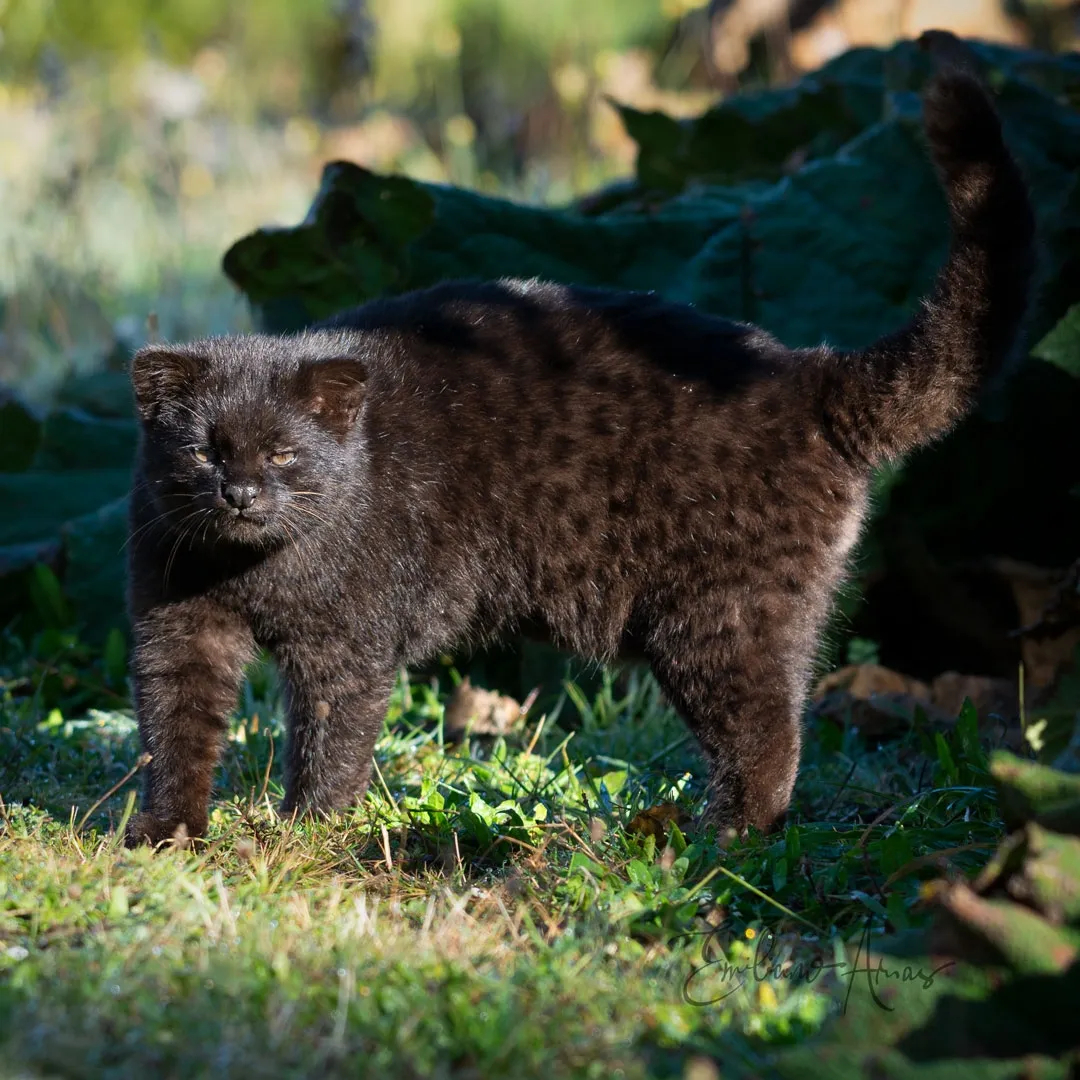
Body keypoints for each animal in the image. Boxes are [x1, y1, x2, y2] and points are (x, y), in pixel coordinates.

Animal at [124, 67, 1036, 846]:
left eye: (283, 454)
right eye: (206, 451)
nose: (240, 493)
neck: (252, 571)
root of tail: (807, 371)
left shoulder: (344, 644)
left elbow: (330, 742)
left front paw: (307, 834)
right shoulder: (175, 626)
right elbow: (174, 732)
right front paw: (164, 836)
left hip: (718, 617)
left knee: (767, 734)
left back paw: (723, 841)